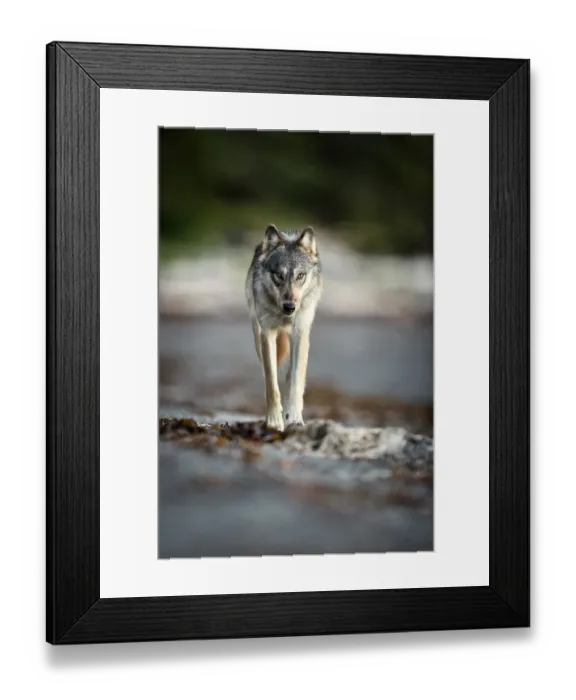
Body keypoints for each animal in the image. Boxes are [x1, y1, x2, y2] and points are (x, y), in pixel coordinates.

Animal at [245, 224, 323, 432]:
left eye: (300, 275)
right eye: (278, 275)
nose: (289, 307)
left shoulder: (301, 334)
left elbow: (296, 382)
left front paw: (294, 417)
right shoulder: (267, 334)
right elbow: (271, 384)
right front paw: (274, 421)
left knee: (291, 376)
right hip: (257, 337)